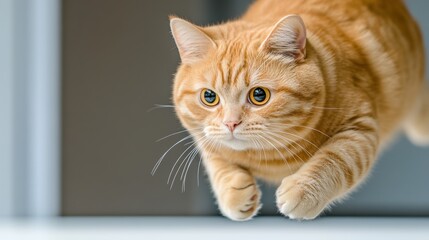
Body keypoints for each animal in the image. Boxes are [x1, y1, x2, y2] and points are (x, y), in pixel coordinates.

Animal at [169, 0, 426, 220]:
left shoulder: (360, 129)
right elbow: (217, 161)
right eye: (209, 97)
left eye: (259, 95)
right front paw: (234, 194)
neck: (268, 159)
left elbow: (335, 158)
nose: (231, 123)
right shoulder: (203, 137)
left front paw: (301, 190)